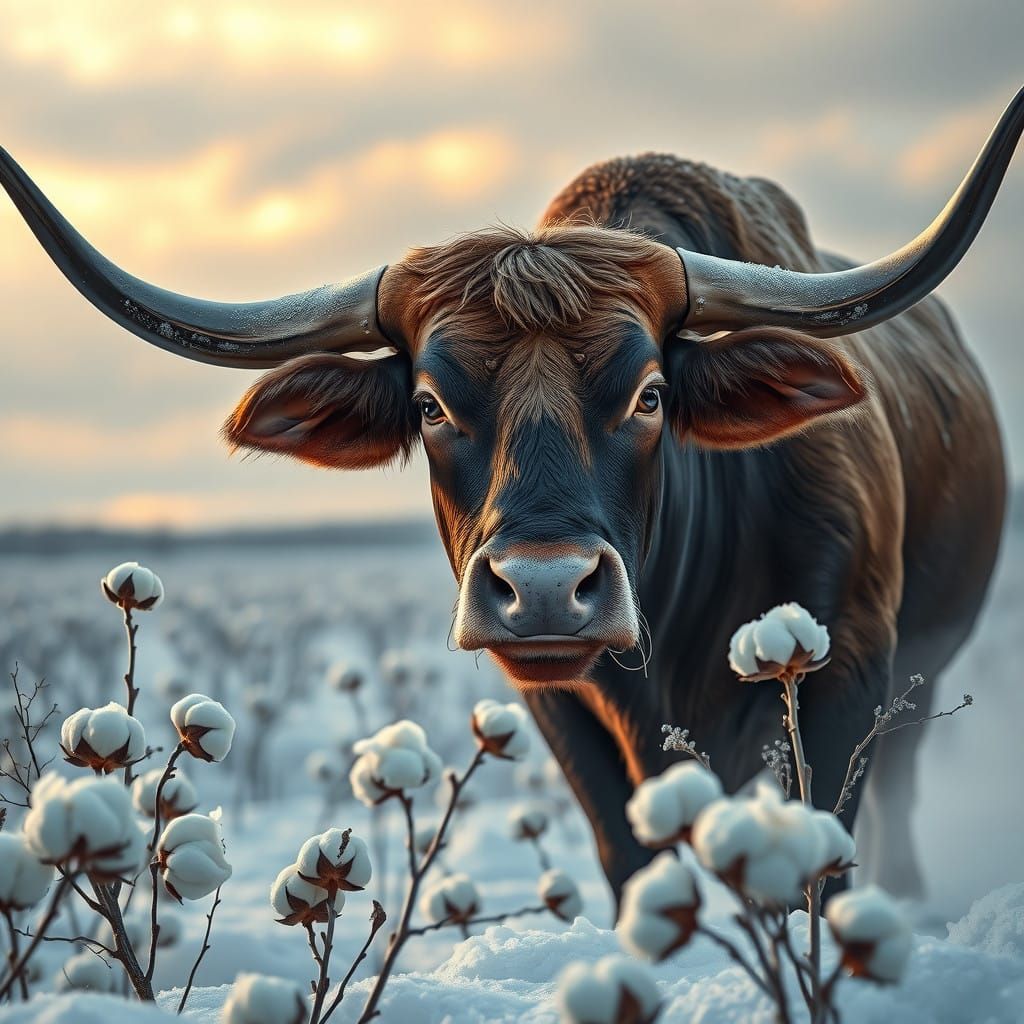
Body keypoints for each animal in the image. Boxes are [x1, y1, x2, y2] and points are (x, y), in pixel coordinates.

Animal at [2, 87, 1021, 907]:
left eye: (651, 393)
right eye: (429, 404)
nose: (542, 590)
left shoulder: (850, 667)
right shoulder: (560, 708)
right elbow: (630, 855)